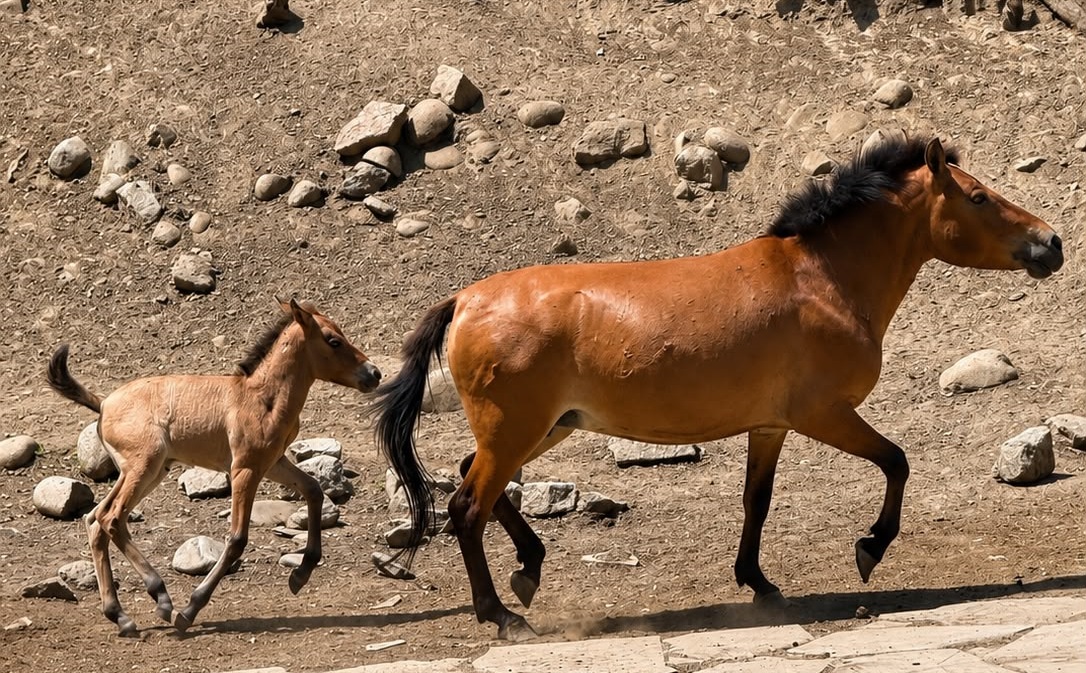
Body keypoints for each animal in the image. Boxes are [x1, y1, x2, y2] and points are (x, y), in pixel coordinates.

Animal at [47, 298, 381, 637]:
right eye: (333, 340)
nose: (374, 373)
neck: (262, 398)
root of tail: (103, 404)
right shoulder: (244, 469)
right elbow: (237, 539)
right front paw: (190, 609)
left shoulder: (272, 462)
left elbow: (313, 489)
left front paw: (301, 575)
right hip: (144, 467)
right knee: (111, 518)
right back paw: (162, 598)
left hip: (146, 472)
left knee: (95, 519)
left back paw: (121, 616)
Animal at [369, 136, 1063, 640]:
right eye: (977, 197)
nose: (1050, 243)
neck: (822, 279)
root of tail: (464, 300)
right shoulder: (824, 413)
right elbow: (897, 461)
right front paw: (870, 548)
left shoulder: (771, 424)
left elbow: (757, 502)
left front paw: (759, 585)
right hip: (518, 430)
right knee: (466, 507)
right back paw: (503, 615)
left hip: (541, 428)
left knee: (471, 480)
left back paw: (529, 571)